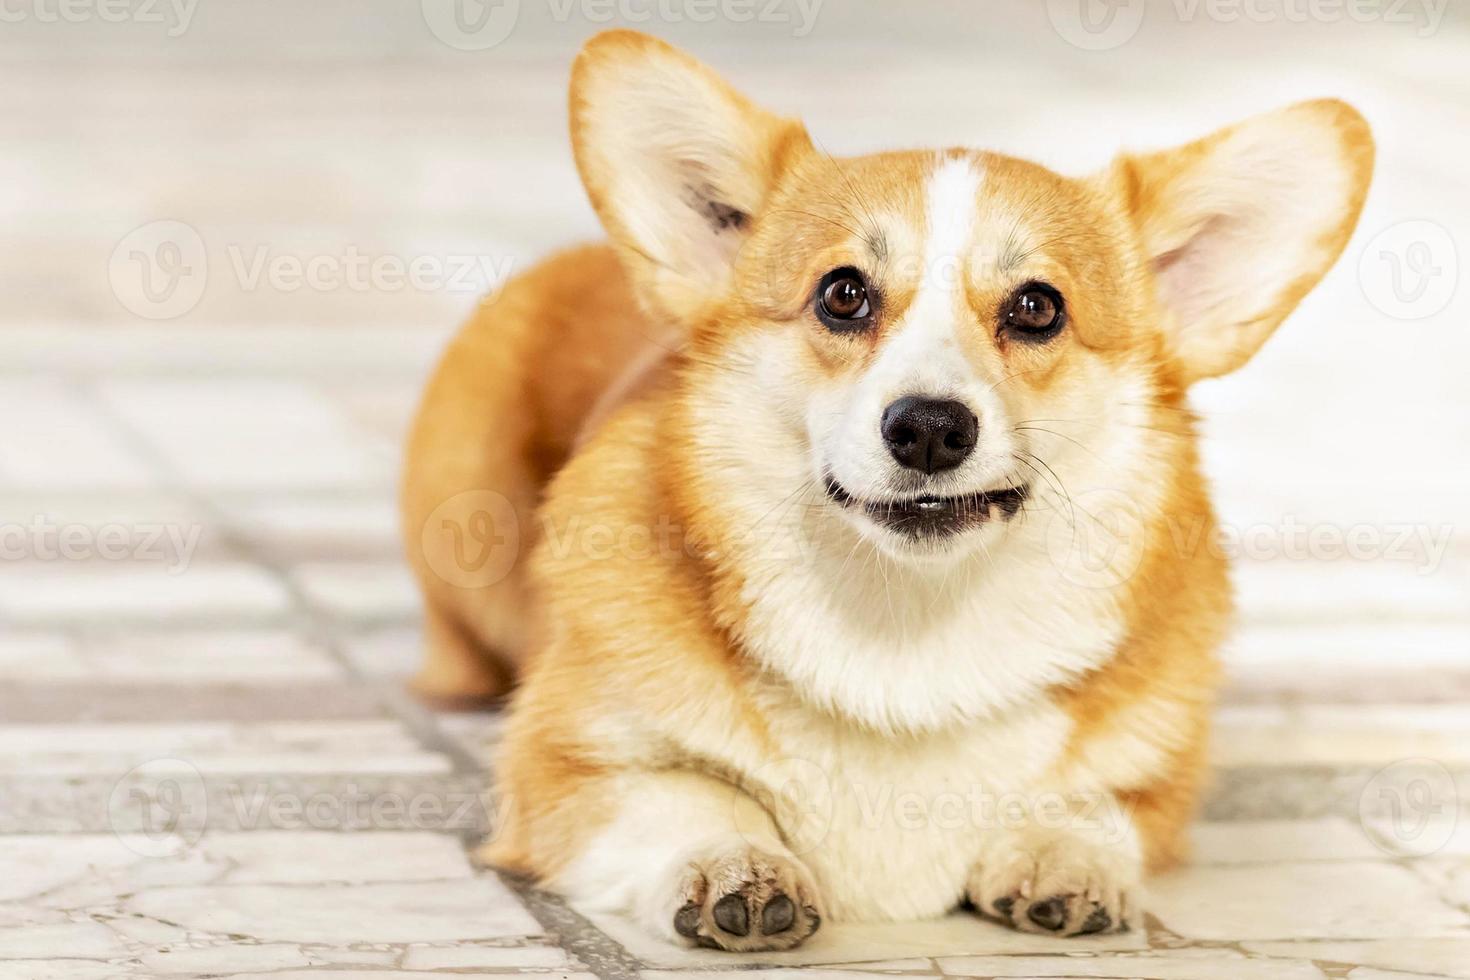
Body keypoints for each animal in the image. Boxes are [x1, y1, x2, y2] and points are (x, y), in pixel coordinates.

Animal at [396, 30, 1370, 952]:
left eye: (1037, 308)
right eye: (843, 294)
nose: (931, 428)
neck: (907, 628)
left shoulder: (1157, 786)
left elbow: (1100, 804)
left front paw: (1065, 854)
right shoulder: (560, 774)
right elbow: (689, 795)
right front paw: (735, 863)